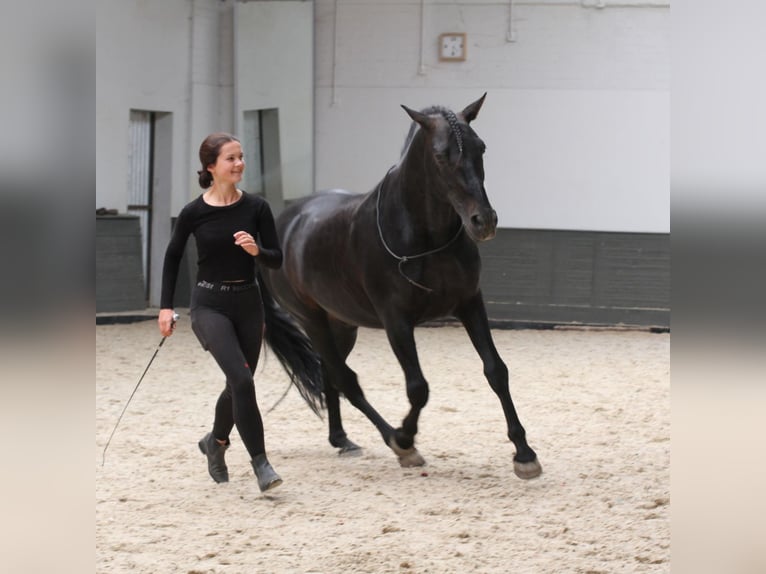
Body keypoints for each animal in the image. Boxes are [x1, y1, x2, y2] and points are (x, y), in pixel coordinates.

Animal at [260, 95, 544, 482]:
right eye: (440, 155)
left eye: (481, 148)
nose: (483, 221)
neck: (425, 238)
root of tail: (284, 224)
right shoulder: (396, 320)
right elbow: (418, 388)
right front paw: (406, 439)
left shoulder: (470, 304)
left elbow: (496, 372)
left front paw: (524, 454)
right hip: (312, 319)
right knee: (345, 379)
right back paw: (394, 440)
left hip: (342, 323)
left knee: (330, 375)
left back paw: (342, 440)